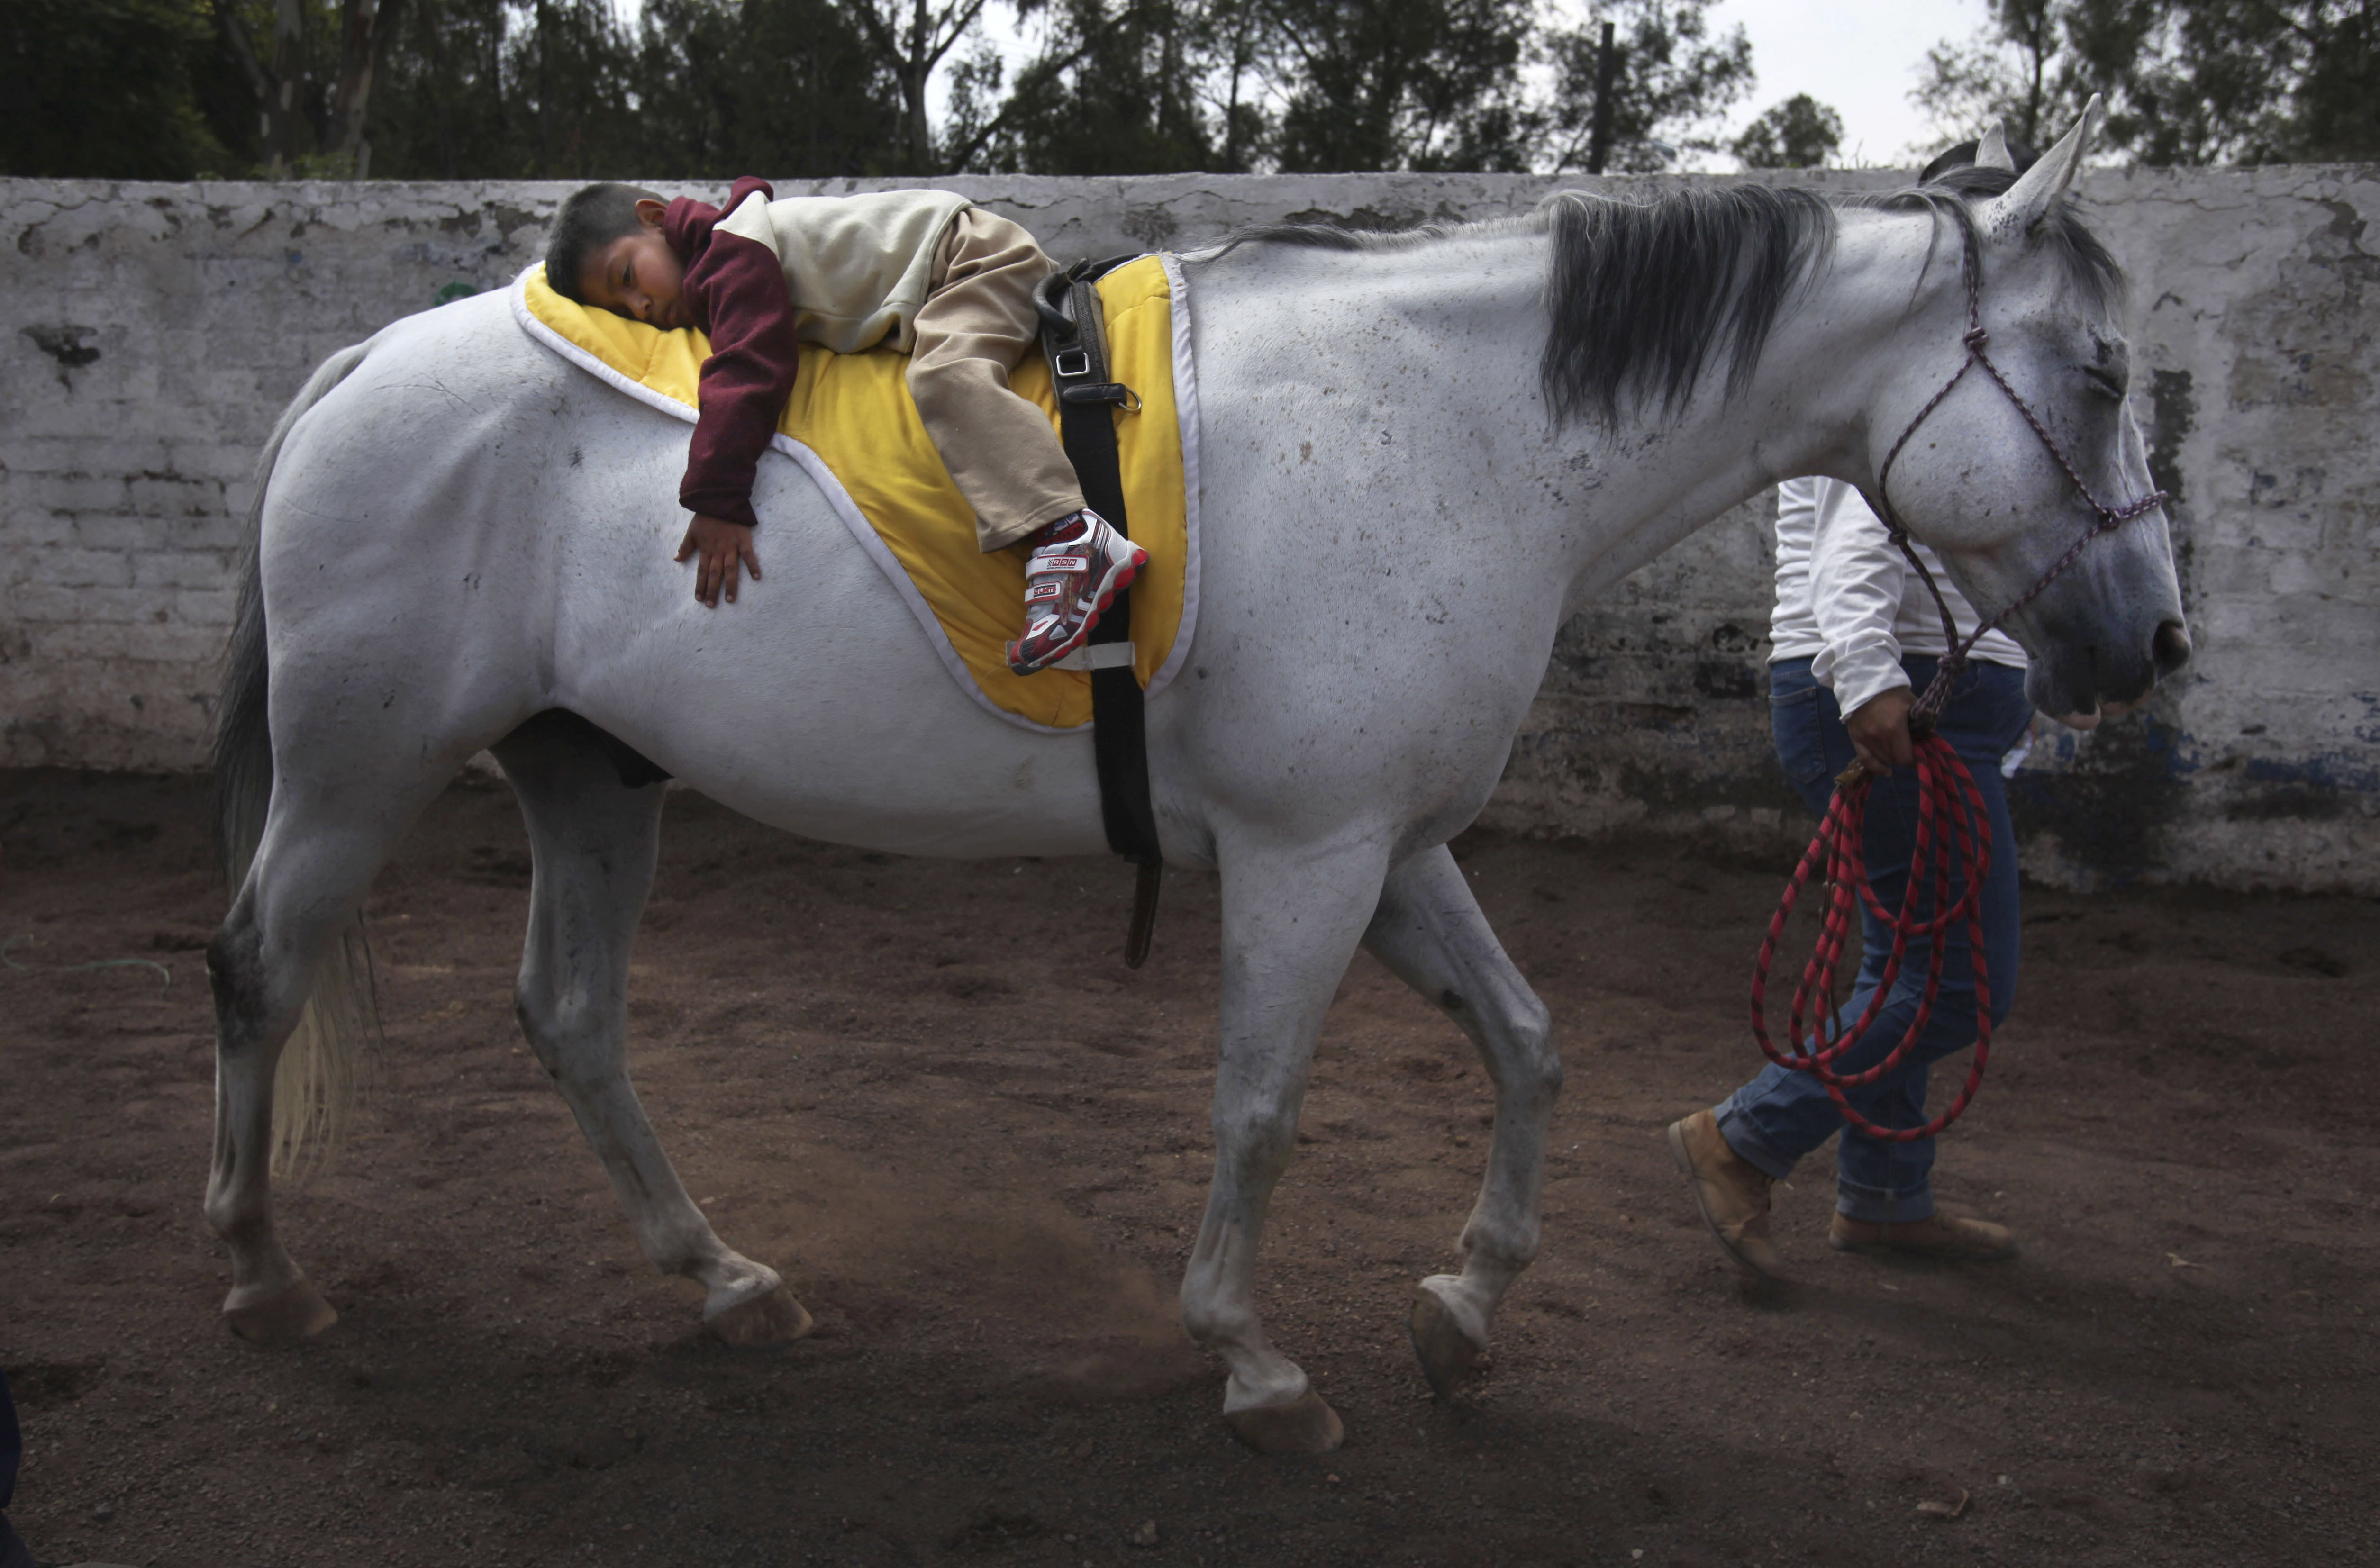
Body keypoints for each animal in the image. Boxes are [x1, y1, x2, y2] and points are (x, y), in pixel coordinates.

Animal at [202, 100, 2186, 1453]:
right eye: (2099, 377)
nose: (2152, 642)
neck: (1450, 428)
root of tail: (356, 364)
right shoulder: (1307, 857)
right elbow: (1259, 1106)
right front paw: (1251, 1354)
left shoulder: (1392, 842)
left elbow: (1529, 1040)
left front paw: (1464, 1306)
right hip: (357, 766)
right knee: (258, 972)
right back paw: (262, 1271)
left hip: (593, 779)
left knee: (571, 1018)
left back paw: (727, 1278)